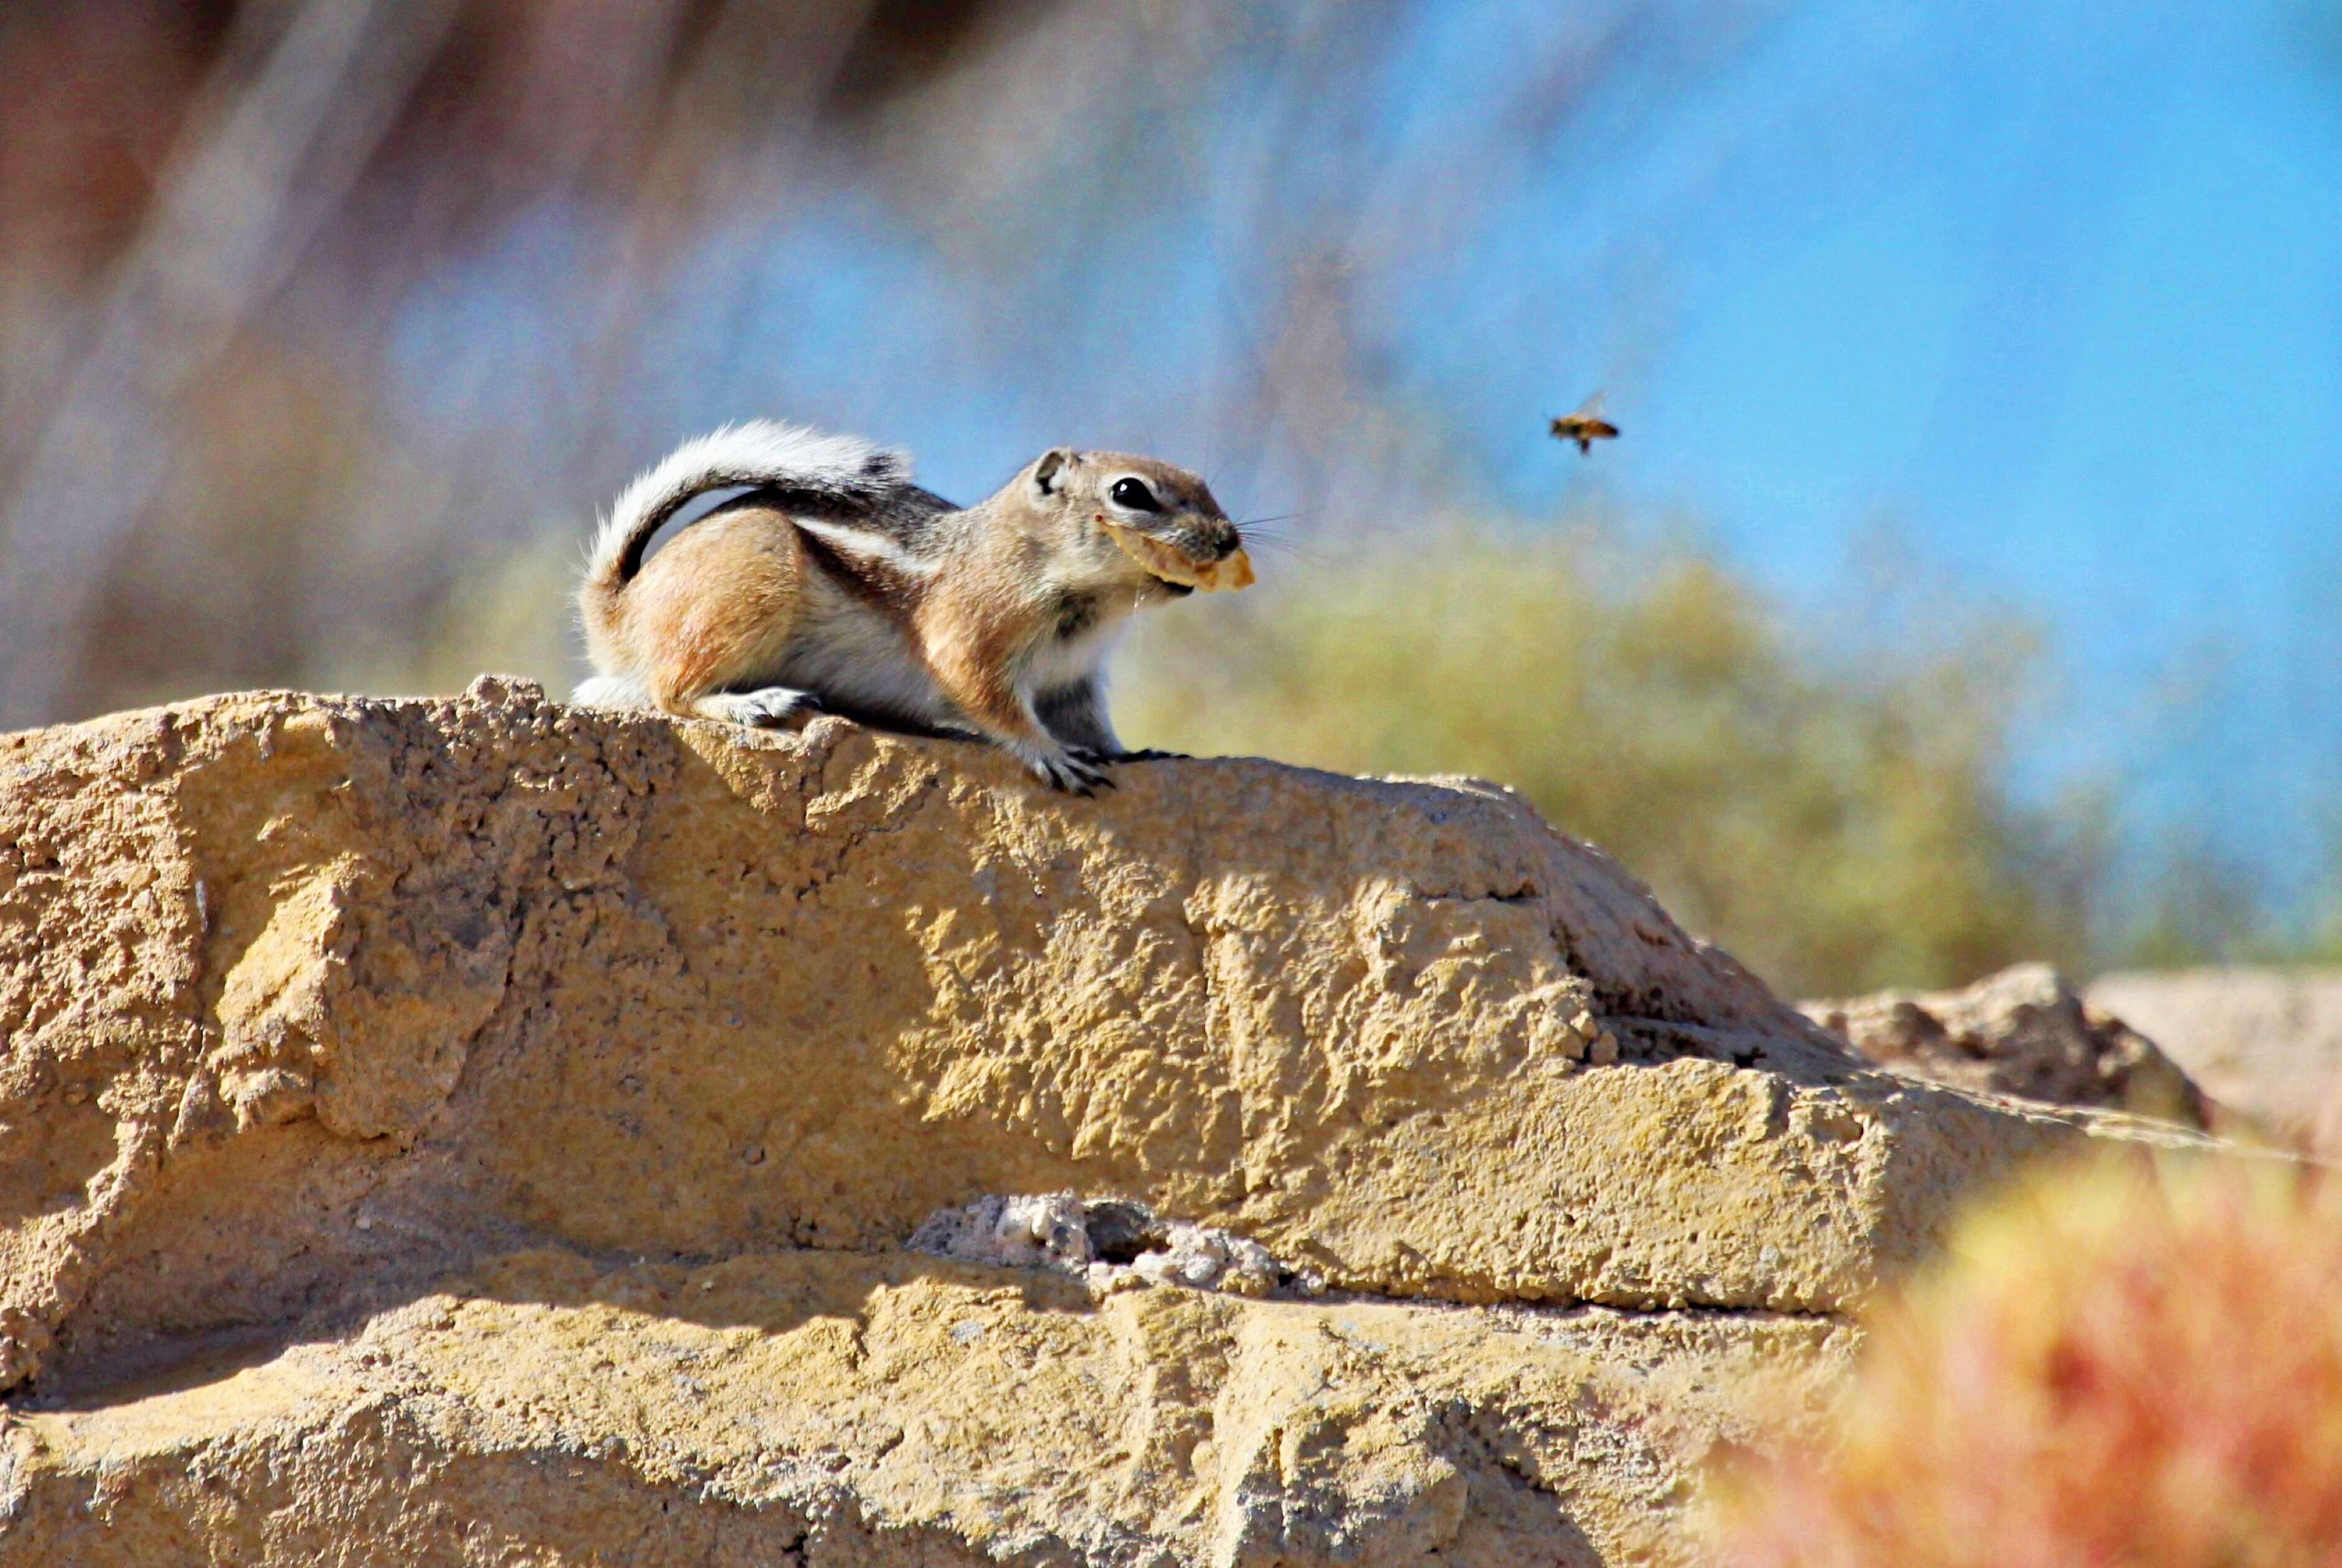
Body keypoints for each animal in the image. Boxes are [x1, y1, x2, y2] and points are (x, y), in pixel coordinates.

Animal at [576, 421, 1255, 800]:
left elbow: (1091, 726)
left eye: (1202, 482)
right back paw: (755, 702)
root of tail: (620, 607)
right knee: (673, 692)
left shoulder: (1073, 679)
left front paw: (1134, 753)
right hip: (748, 582)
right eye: (1130, 492)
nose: (1228, 540)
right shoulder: (970, 636)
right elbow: (994, 703)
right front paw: (1050, 754)